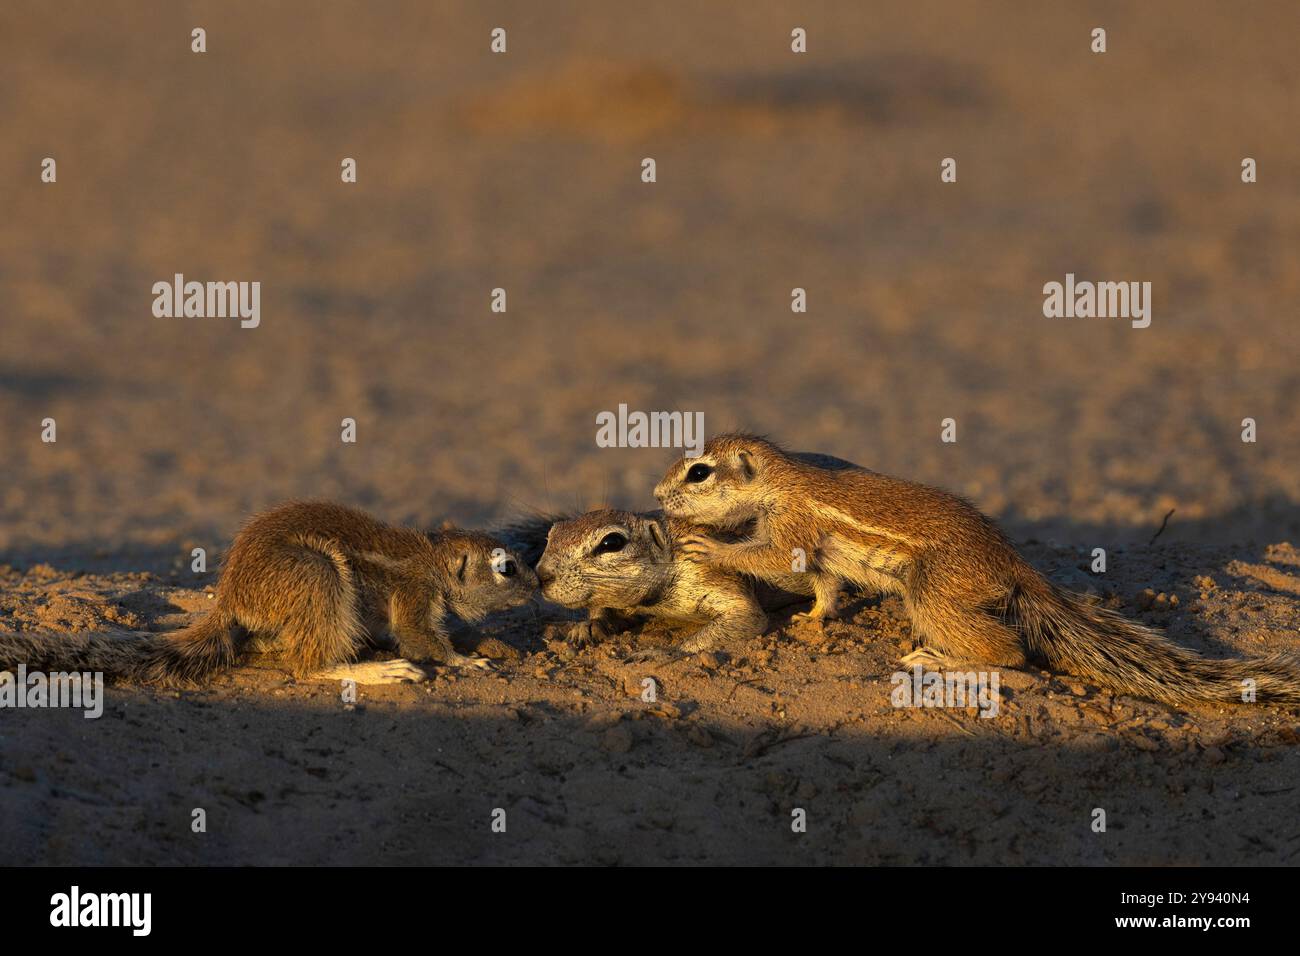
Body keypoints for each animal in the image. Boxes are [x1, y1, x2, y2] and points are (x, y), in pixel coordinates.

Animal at [0, 502, 538, 686]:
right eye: (507, 568)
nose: (536, 583)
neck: (432, 558)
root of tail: (230, 601)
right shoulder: (412, 595)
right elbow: (419, 637)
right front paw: (467, 659)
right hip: (319, 574)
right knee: (308, 666)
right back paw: (379, 671)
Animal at [655, 431, 1300, 702]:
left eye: (699, 472)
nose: (658, 494)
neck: (780, 482)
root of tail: (1012, 562)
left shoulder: (790, 528)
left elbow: (766, 558)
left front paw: (708, 547)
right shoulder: (812, 547)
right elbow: (825, 583)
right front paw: (816, 618)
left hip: (930, 590)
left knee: (1008, 654)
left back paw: (939, 659)